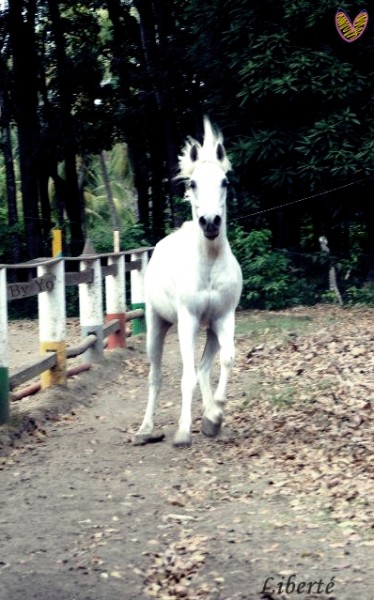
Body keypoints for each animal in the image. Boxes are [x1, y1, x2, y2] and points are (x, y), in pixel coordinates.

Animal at [134, 117, 243, 446]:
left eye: (225, 182)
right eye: (192, 183)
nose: (209, 222)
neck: (208, 265)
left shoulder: (224, 318)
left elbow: (226, 360)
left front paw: (214, 416)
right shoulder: (188, 321)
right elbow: (186, 375)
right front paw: (183, 431)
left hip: (211, 329)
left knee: (205, 368)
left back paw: (209, 417)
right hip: (156, 325)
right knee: (155, 376)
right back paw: (145, 429)